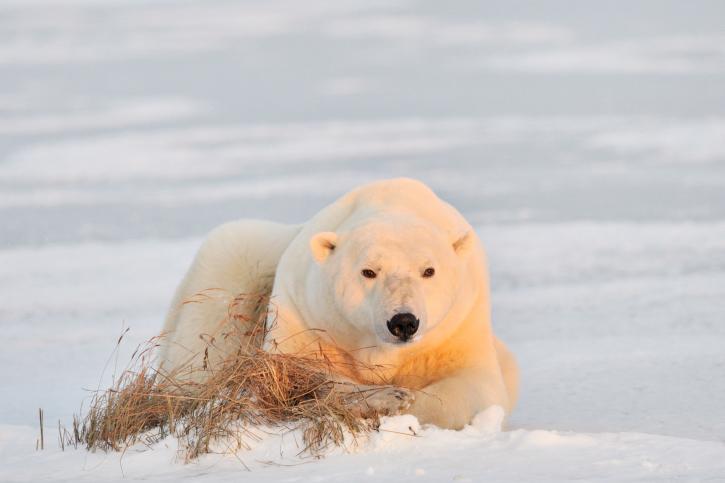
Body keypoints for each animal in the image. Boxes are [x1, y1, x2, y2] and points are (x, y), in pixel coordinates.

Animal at [160, 178, 518, 429]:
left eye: (429, 270)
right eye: (369, 271)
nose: (403, 322)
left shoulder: (460, 325)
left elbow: (476, 388)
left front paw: (403, 403)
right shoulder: (304, 312)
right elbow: (289, 375)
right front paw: (388, 398)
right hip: (235, 260)